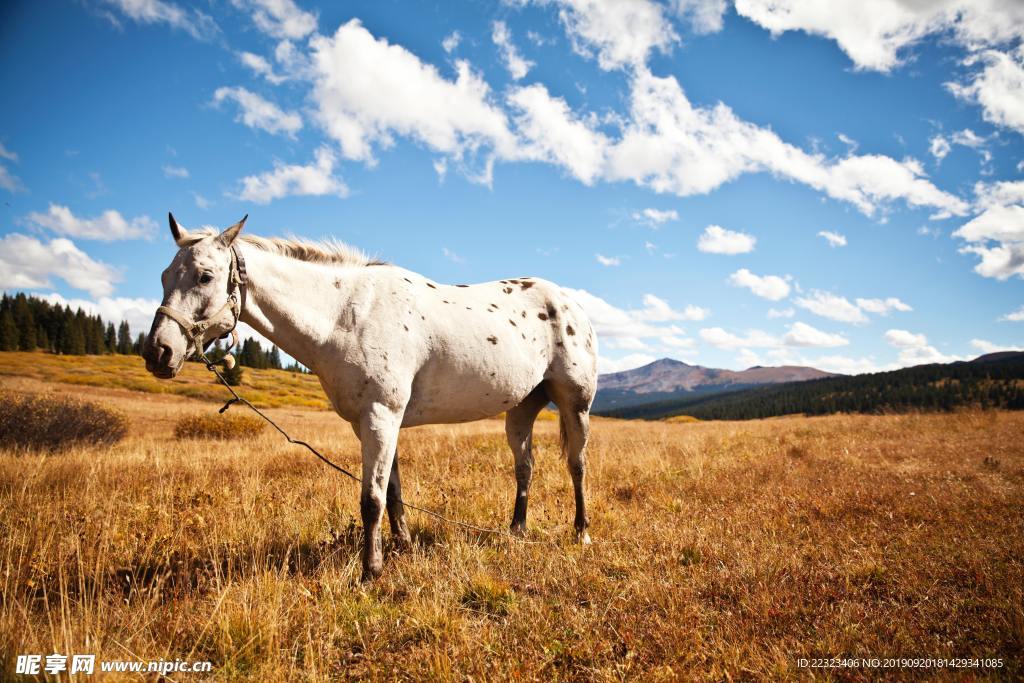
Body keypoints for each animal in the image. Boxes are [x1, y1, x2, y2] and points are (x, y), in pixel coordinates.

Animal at [140, 216, 598, 581]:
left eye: (204, 276)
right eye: (162, 276)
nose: (158, 352)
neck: (345, 315)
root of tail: (570, 302)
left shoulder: (382, 414)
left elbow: (371, 499)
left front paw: (371, 571)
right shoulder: (372, 422)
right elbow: (391, 491)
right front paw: (402, 547)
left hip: (576, 404)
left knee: (576, 466)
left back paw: (581, 532)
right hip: (521, 409)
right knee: (525, 467)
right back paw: (516, 531)